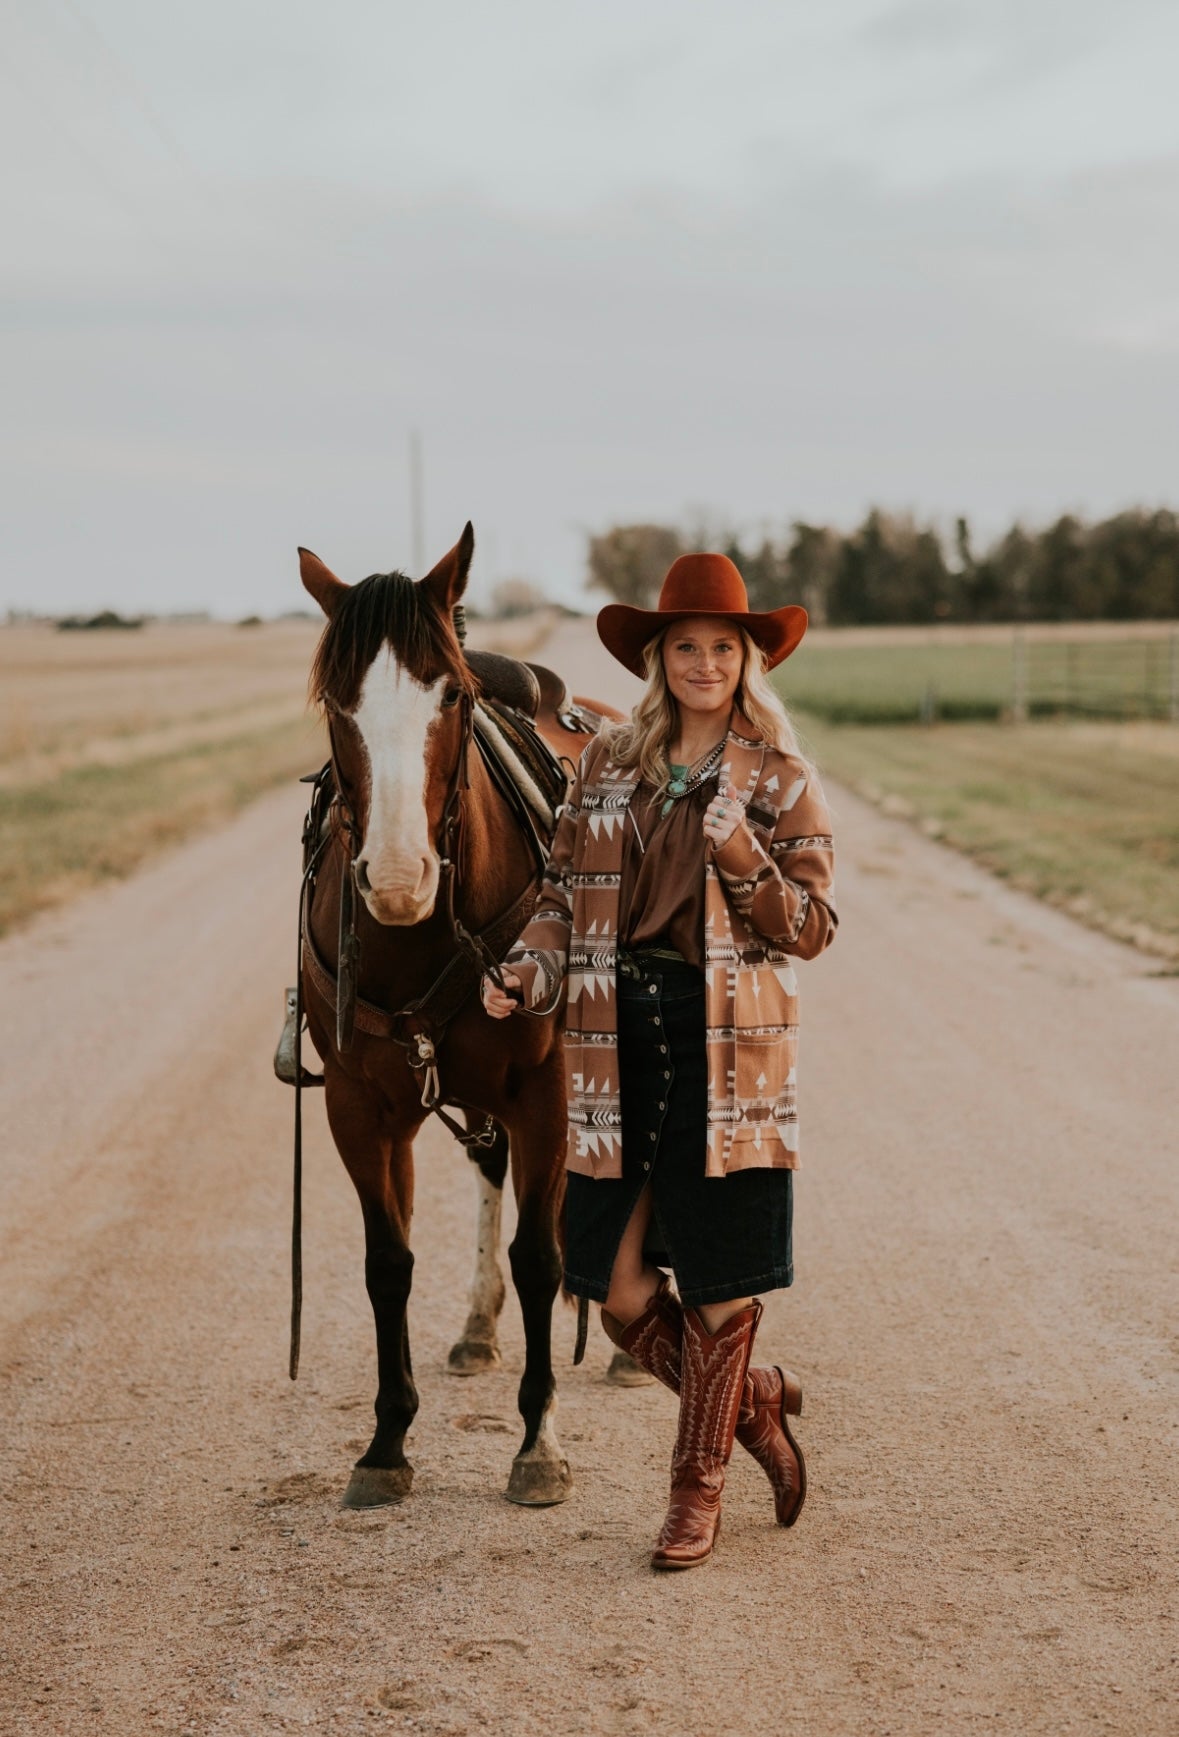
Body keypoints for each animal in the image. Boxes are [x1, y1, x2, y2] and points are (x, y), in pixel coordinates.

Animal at [295, 524, 614, 1507]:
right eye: (337, 699)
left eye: (455, 694)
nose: (399, 878)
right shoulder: (358, 1104)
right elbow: (387, 1263)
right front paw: (386, 1440)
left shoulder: (546, 1088)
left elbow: (540, 1257)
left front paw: (538, 1441)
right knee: (486, 1165)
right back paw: (477, 1326)